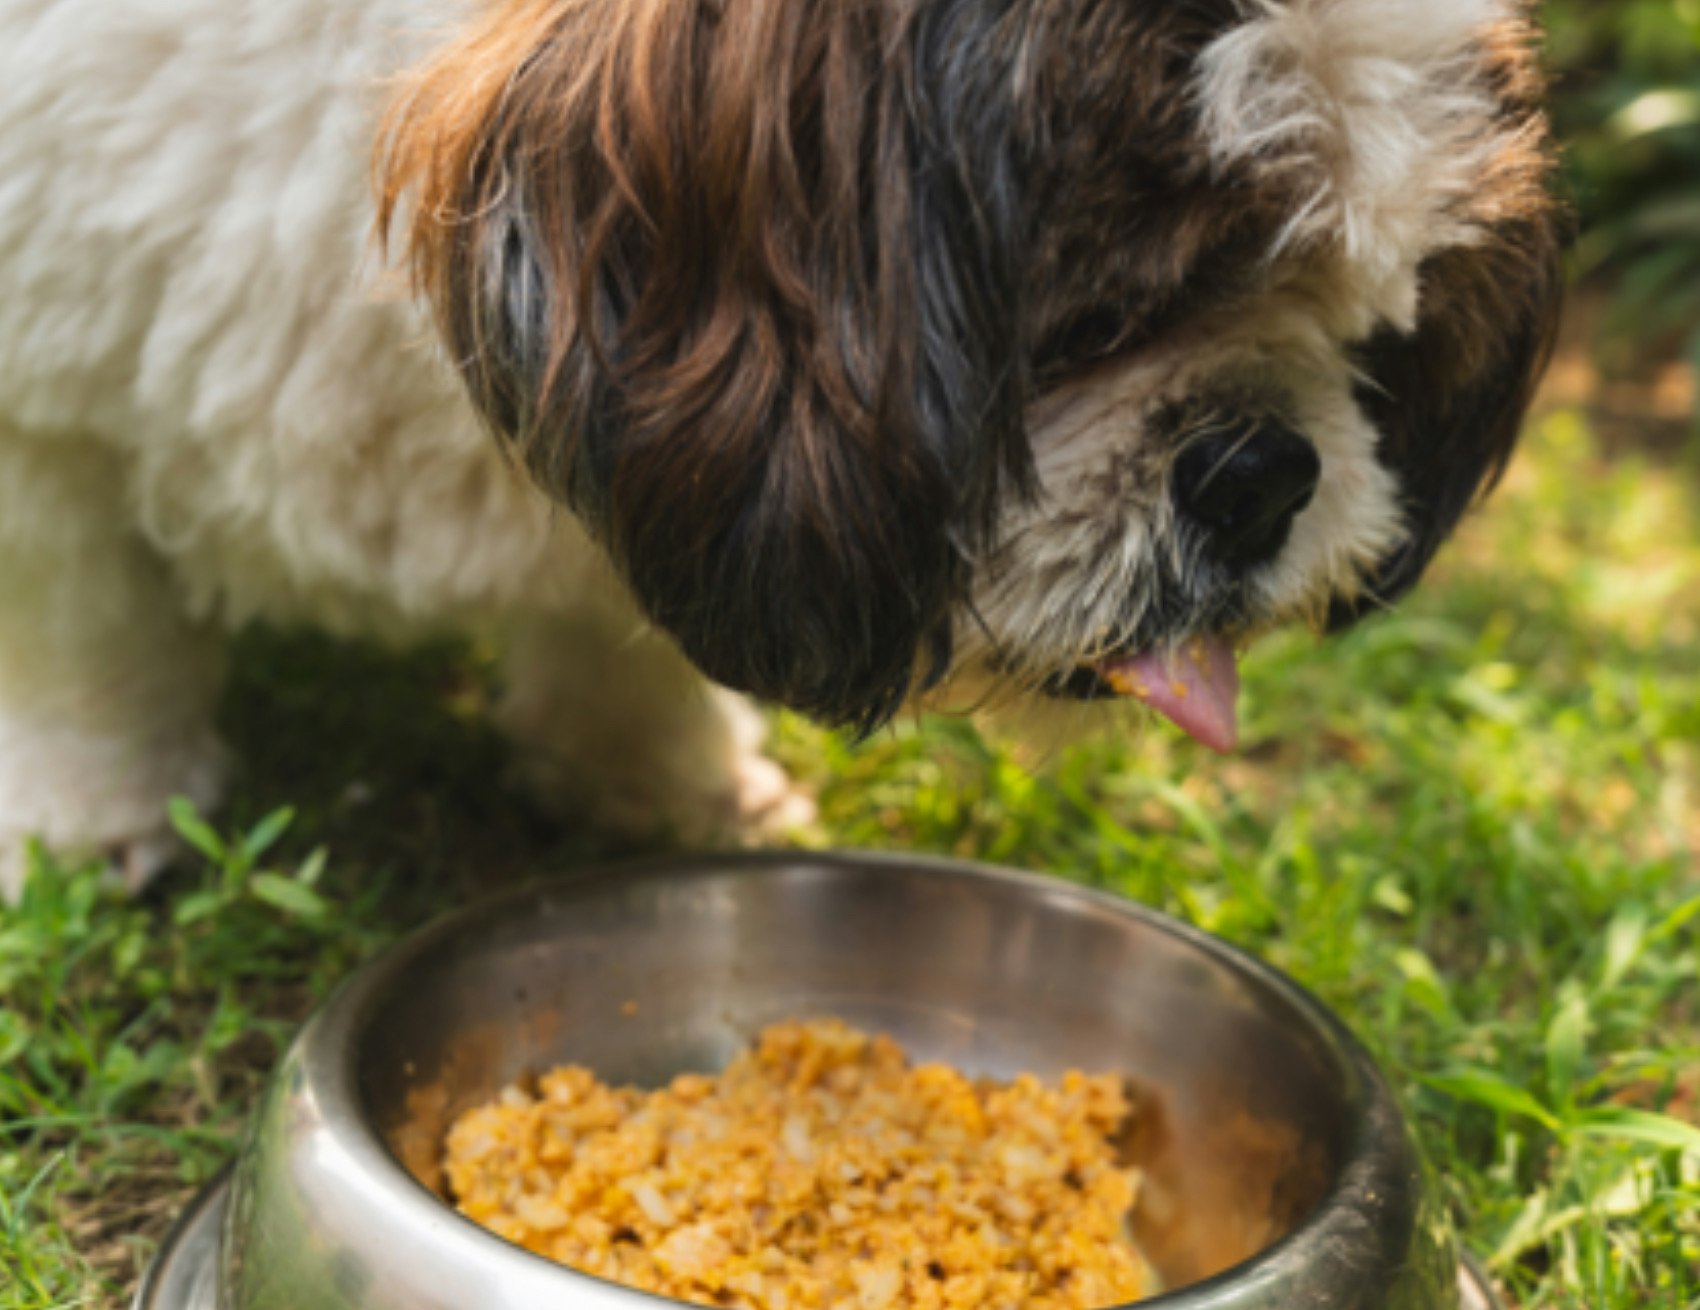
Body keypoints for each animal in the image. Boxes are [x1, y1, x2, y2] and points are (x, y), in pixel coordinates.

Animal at [0, 0, 1564, 903]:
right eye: (1106, 311)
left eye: (1374, 316)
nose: (1262, 471)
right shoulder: (45, 389)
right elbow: (84, 626)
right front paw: (91, 810)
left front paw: (661, 774)